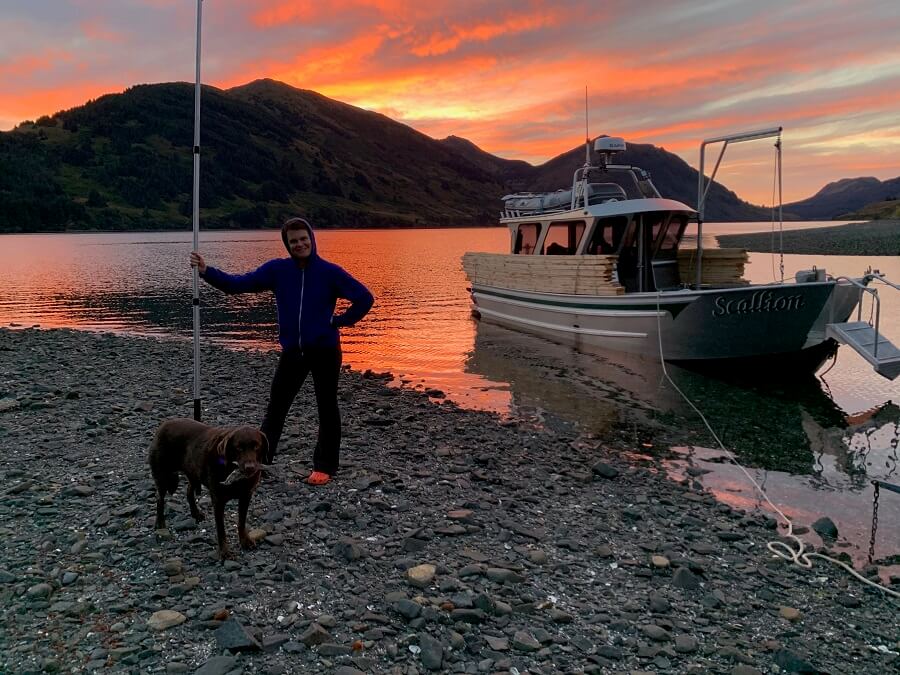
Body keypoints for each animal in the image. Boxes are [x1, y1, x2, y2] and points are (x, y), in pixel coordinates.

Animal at [147, 422, 268, 560]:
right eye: (239, 448)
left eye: (256, 446)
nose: (250, 467)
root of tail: (163, 424)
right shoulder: (218, 500)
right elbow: (221, 529)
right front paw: (224, 551)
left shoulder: (246, 496)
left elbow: (241, 522)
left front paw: (245, 541)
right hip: (162, 475)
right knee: (159, 498)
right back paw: (160, 523)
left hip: (193, 472)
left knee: (189, 491)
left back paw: (196, 513)